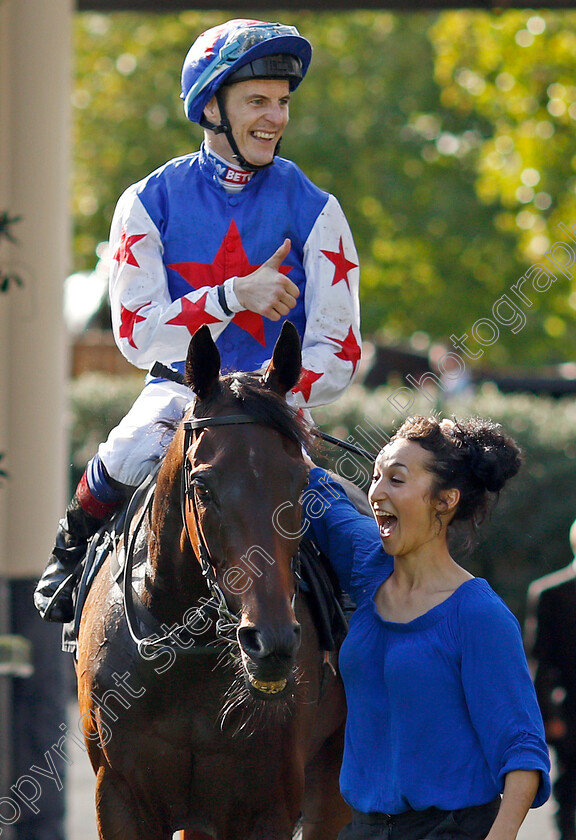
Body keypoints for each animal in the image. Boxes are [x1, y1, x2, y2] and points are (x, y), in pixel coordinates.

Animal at [74, 324, 348, 840]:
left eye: (301, 482)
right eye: (202, 486)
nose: (272, 642)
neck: (187, 659)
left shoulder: (268, 807)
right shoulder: (119, 795)